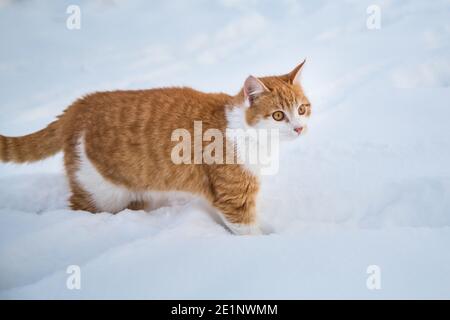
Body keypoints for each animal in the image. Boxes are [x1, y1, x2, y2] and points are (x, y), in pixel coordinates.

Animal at [0, 60, 312, 235]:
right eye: (278, 115)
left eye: (302, 109)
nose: (299, 128)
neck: (249, 134)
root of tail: (80, 105)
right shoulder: (234, 198)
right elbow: (248, 231)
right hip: (102, 192)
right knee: (78, 207)